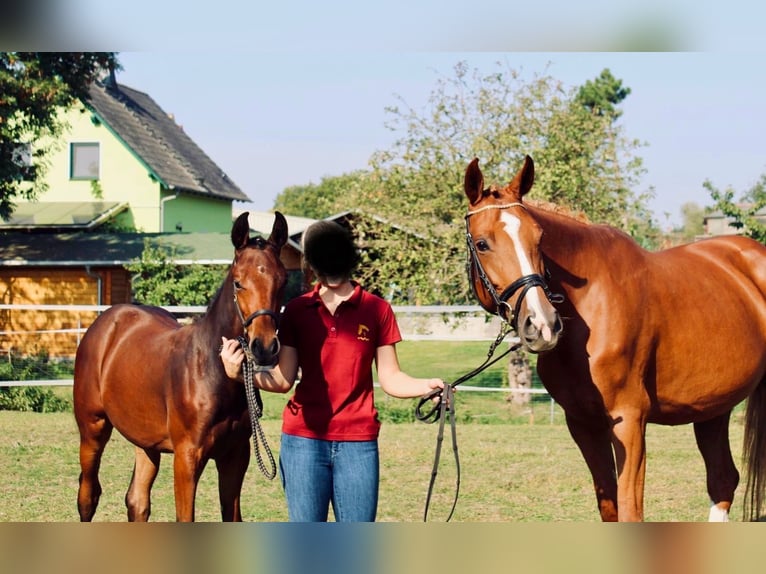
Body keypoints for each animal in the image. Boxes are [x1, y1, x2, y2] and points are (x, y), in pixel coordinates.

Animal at [73, 211, 288, 522]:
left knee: (137, 501)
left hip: (145, 442)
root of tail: (105, 323)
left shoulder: (236, 455)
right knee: (88, 497)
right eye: (238, 282)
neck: (211, 373)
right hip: (92, 429)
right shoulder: (187, 456)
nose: (265, 347)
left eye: (283, 281)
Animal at [463, 155, 766, 521]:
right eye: (482, 244)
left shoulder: (629, 421)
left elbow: (630, 510)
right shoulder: (583, 424)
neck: (592, 303)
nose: (543, 323)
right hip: (712, 407)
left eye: (539, 239)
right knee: (722, 479)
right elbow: (610, 508)